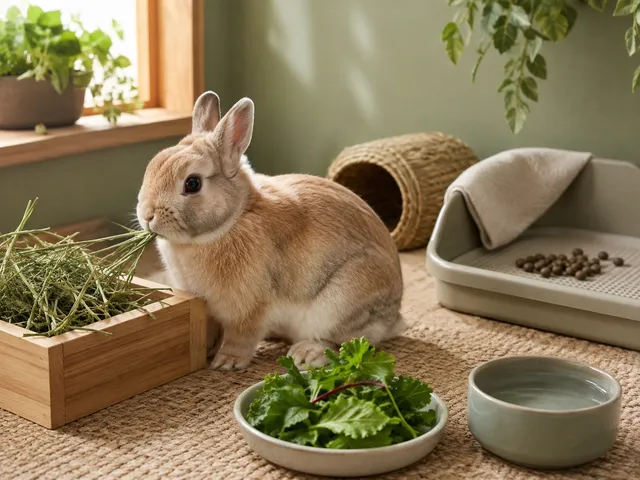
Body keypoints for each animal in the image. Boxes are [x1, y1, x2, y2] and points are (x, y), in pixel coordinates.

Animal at [136, 91, 405, 371]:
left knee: (348, 341)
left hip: (341, 302)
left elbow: (241, 336)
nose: (147, 215)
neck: (234, 219)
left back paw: (306, 353)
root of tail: (395, 317)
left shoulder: (250, 307)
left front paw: (226, 362)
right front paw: (208, 349)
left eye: (192, 183)